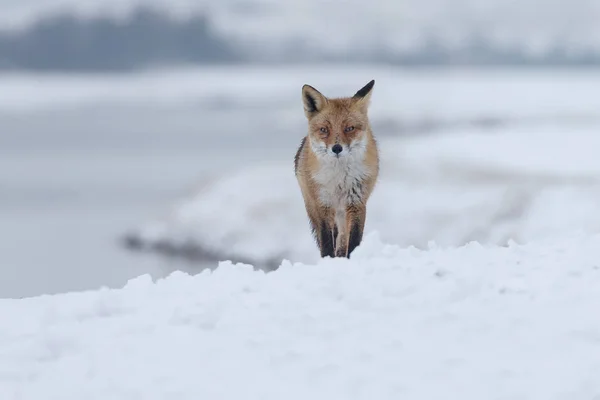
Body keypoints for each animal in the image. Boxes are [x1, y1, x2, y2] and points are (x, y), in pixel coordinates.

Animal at [294, 81, 380, 260]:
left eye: (349, 128)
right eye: (324, 130)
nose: (337, 148)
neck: (340, 179)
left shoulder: (357, 203)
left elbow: (353, 239)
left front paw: (351, 258)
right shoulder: (323, 204)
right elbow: (326, 241)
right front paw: (328, 260)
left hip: (342, 213)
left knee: (342, 238)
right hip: (313, 206)